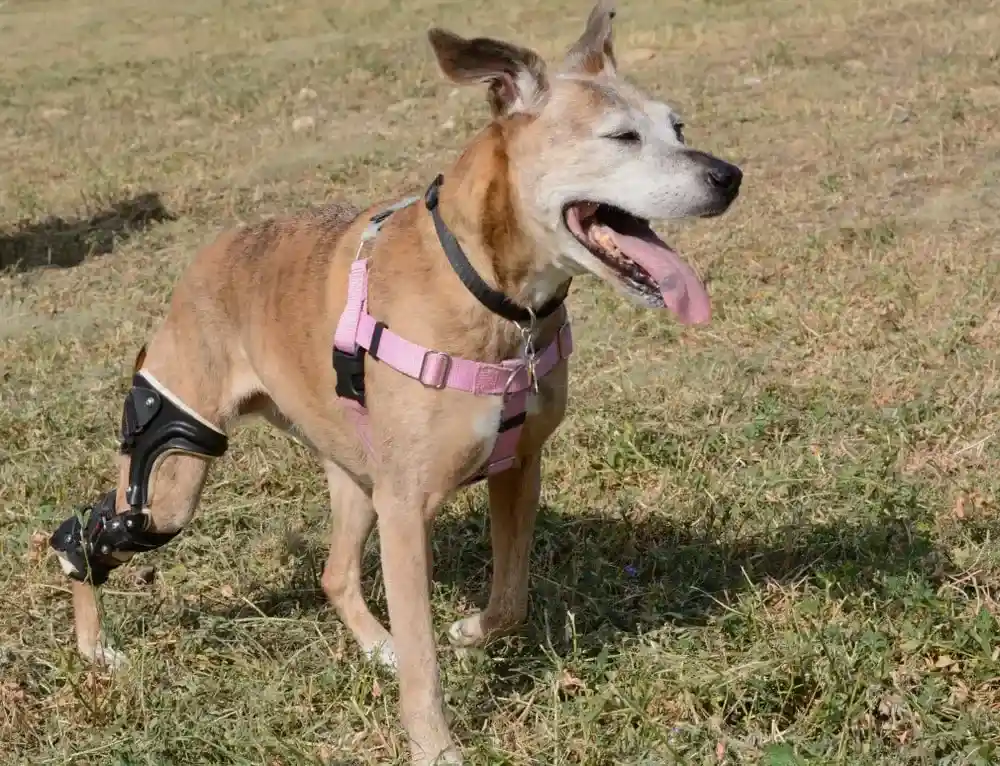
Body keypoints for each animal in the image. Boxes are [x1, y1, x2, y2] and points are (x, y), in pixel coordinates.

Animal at [48, 3, 744, 764]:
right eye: (621, 136)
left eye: (678, 126)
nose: (729, 176)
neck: (486, 286)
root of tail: (202, 261)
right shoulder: (408, 511)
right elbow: (424, 660)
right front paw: (435, 744)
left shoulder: (517, 468)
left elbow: (509, 600)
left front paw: (468, 633)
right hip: (174, 472)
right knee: (81, 536)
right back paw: (95, 647)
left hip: (353, 479)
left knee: (333, 573)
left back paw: (374, 645)